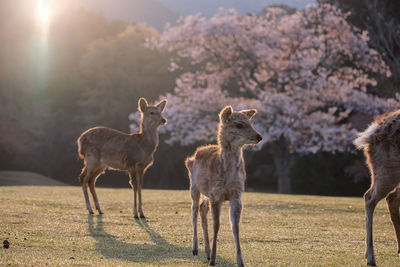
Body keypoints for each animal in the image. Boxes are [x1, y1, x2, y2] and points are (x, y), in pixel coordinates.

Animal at [185, 105, 262, 266]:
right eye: (239, 125)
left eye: (250, 123)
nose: (259, 136)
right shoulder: (216, 195)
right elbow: (217, 225)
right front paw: (214, 260)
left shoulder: (236, 194)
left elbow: (235, 226)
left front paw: (240, 262)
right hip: (193, 185)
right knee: (194, 209)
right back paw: (195, 249)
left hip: (207, 192)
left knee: (202, 208)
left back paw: (207, 253)